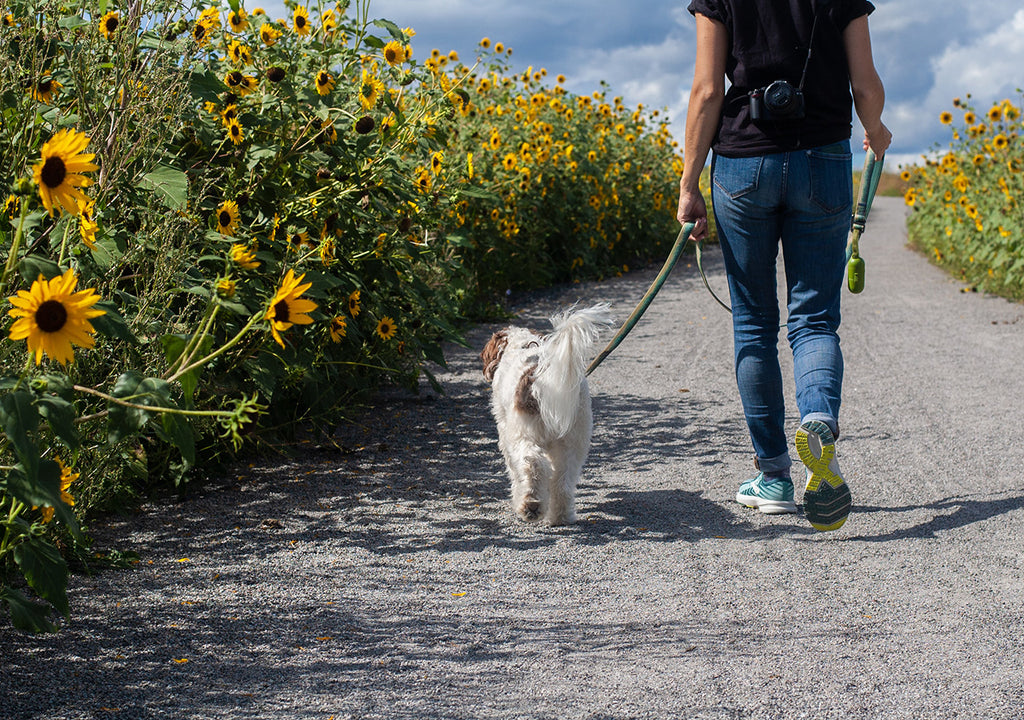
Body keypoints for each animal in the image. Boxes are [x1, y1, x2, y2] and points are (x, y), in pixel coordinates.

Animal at [477, 301, 610, 528]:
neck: (521, 345)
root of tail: (541, 375)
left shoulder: (505, 433)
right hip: (574, 440)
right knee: (563, 481)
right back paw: (560, 516)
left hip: (524, 434)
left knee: (532, 463)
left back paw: (531, 505)